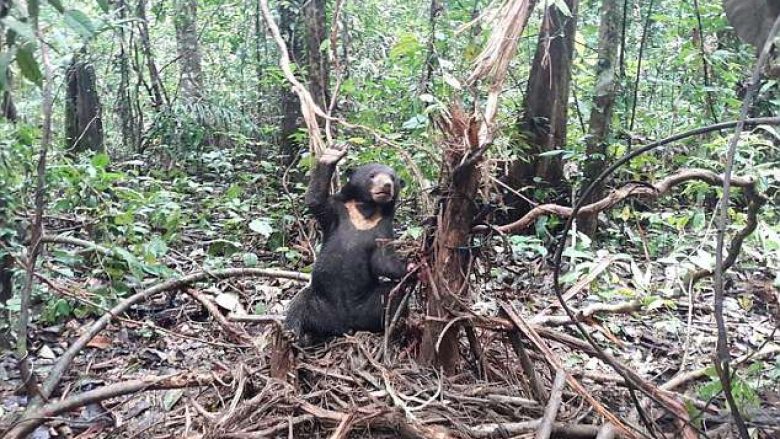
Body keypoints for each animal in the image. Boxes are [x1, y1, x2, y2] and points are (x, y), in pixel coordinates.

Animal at [284, 146, 408, 346]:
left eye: (393, 178)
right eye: (372, 175)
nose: (386, 186)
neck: (366, 210)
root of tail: (344, 325)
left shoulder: (383, 228)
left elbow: (384, 261)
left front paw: (412, 265)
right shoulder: (336, 211)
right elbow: (315, 201)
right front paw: (332, 154)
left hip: (367, 306)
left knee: (394, 294)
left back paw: (394, 328)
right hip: (320, 301)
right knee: (300, 302)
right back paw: (293, 334)